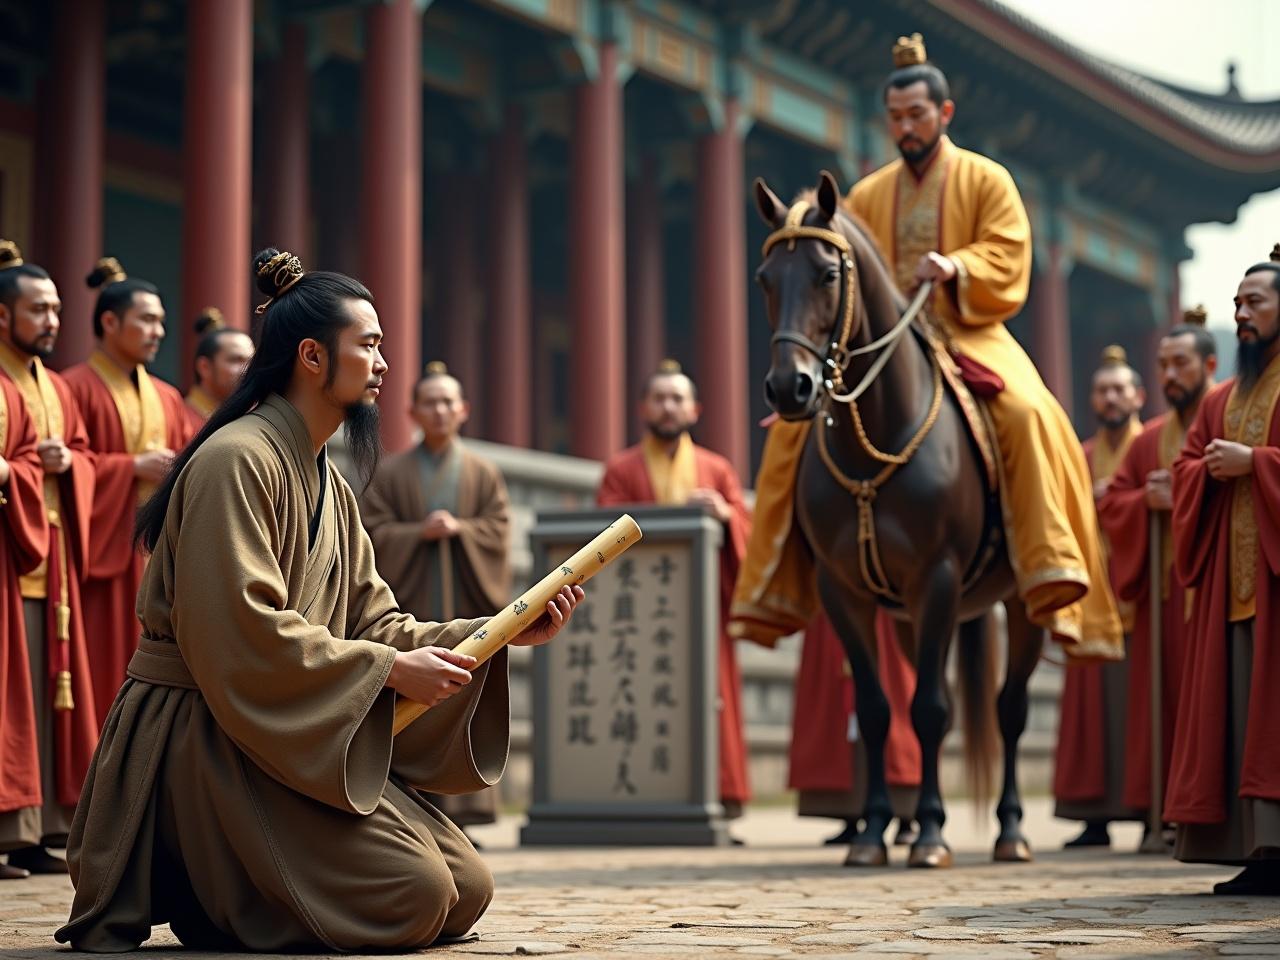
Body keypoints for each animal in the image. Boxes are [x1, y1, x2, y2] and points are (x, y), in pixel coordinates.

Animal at [752, 172, 1044, 870]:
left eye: (828, 274)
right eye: (765, 278)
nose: (790, 389)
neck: (875, 439)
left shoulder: (936, 576)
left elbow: (931, 710)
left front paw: (933, 832)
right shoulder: (844, 589)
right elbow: (879, 710)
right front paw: (874, 832)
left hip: (1024, 597)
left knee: (1010, 709)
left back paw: (1011, 830)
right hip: (912, 618)